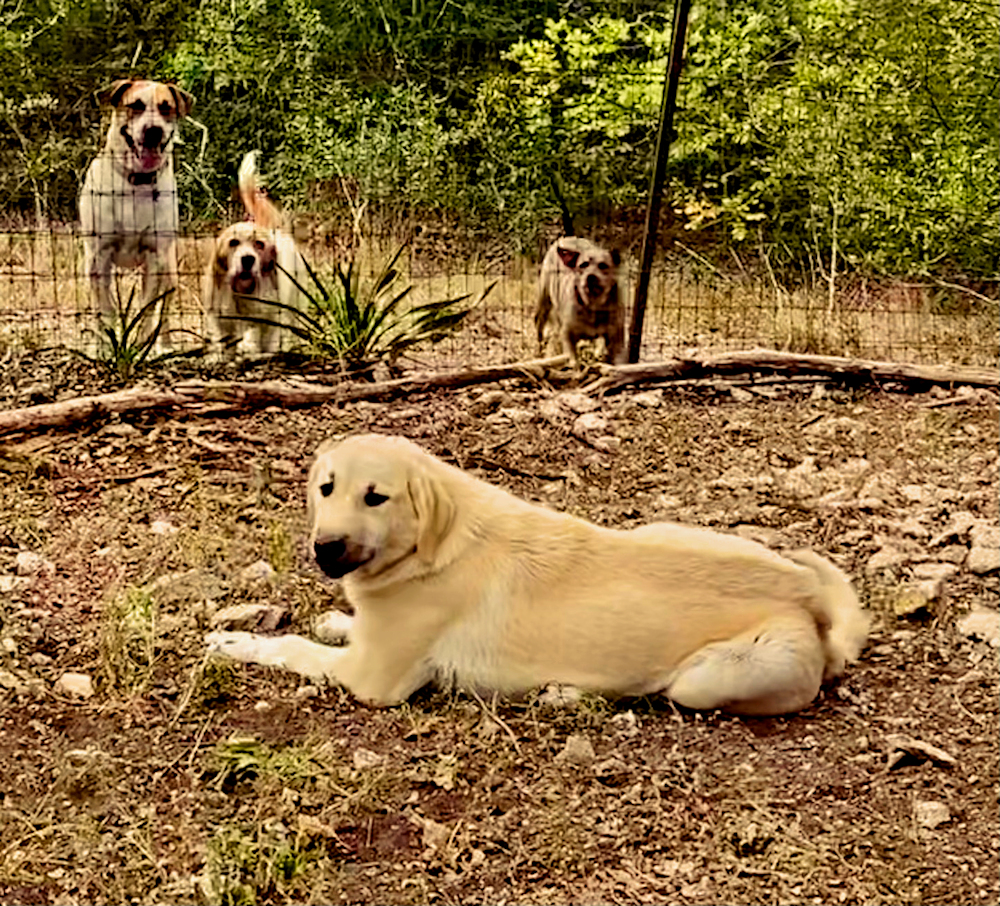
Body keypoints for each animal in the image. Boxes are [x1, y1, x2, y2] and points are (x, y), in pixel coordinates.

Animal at [79, 79, 194, 348]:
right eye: (136, 105)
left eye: (166, 107)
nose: (153, 131)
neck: (136, 182)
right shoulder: (99, 256)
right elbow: (105, 309)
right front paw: (106, 348)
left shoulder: (155, 257)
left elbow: (146, 310)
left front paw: (141, 347)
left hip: (170, 271)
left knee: (165, 310)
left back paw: (165, 346)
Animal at [207, 434, 872, 716]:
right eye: (326, 488)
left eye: (376, 497)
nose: (325, 549)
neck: (429, 547)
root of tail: (808, 598)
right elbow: (339, 626)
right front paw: (333, 617)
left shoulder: (372, 679)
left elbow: (289, 647)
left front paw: (234, 640)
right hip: (659, 527)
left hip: (707, 680)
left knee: (658, 690)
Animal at [532, 238, 624, 370]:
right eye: (583, 265)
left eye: (603, 265)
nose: (590, 276)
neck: (593, 305)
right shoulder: (567, 333)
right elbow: (573, 359)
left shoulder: (616, 337)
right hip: (544, 301)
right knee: (539, 326)